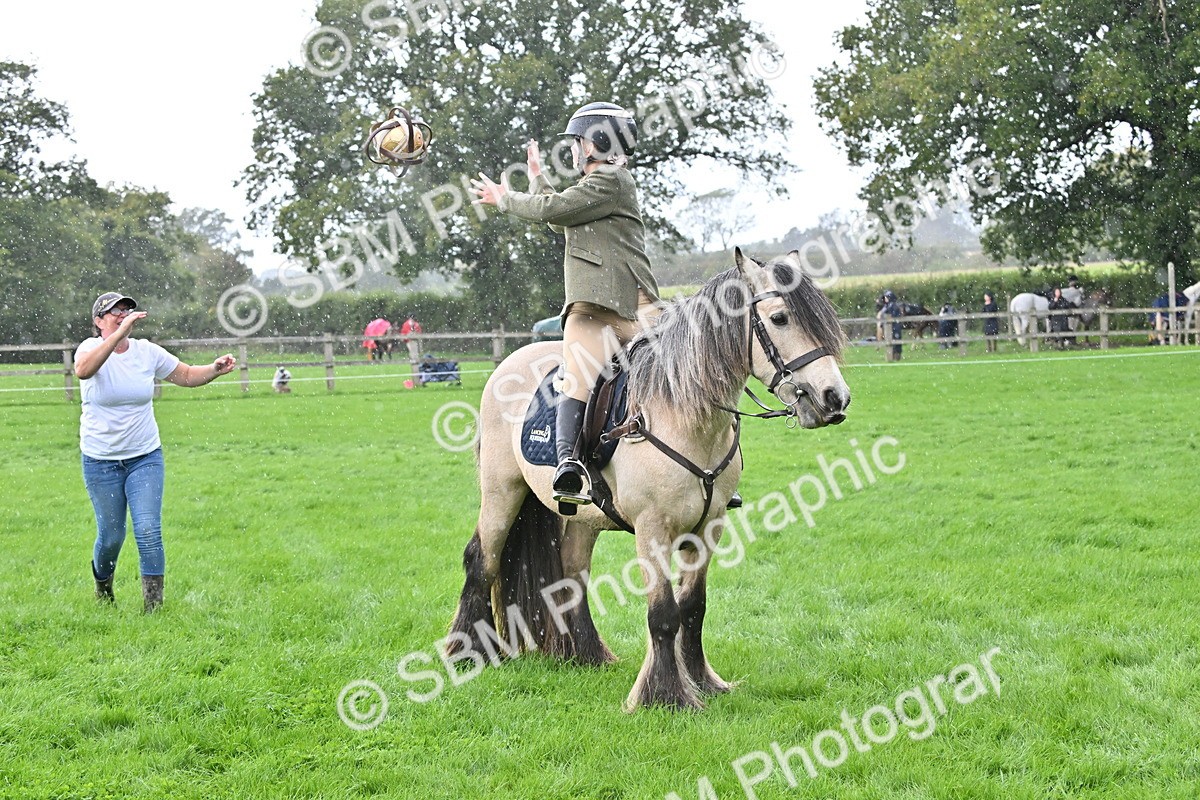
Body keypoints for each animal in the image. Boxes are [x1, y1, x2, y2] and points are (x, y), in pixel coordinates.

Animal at [447, 249, 850, 711]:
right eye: (780, 318)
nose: (835, 398)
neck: (684, 415)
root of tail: (510, 363)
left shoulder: (708, 527)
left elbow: (693, 607)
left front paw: (703, 681)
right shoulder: (652, 529)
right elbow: (663, 613)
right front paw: (666, 695)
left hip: (582, 519)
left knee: (572, 573)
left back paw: (586, 654)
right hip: (502, 492)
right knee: (482, 560)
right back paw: (465, 652)